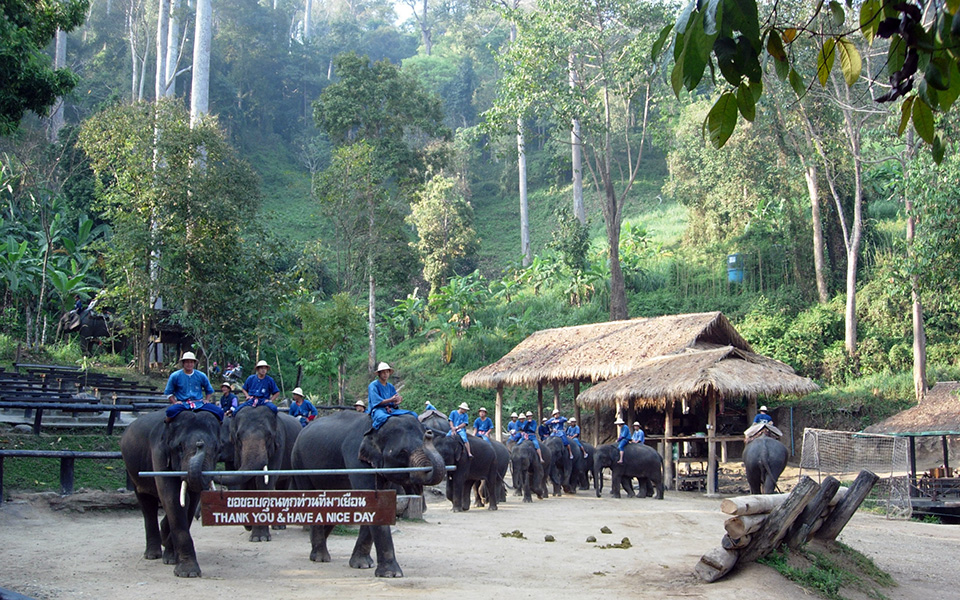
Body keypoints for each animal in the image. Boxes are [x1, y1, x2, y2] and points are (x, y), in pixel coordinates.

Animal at [121, 408, 222, 576]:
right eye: (179, 446)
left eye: (216, 448)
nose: (200, 444)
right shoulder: (159, 453)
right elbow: (172, 498)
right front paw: (188, 573)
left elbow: (190, 501)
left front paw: (171, 558)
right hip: (133, 471)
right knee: (147, 504)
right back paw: (152, 555)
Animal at [218, 406, 302, 540]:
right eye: (238, 436)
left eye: (269, 436)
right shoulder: (237, 452)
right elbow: (245, 482)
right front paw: (249, 526)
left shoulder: (278, 446)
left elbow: (264, 482)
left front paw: (260, 538)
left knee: (282, 484)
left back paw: (279, 526)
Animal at [290, 408, 444, 576]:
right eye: (402, 452)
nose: (429, 433)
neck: (374, 428)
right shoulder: (356, 458)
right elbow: (373, 502)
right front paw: (391, 574)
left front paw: (363, 564)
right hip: (299, 464)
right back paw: (320, 557)